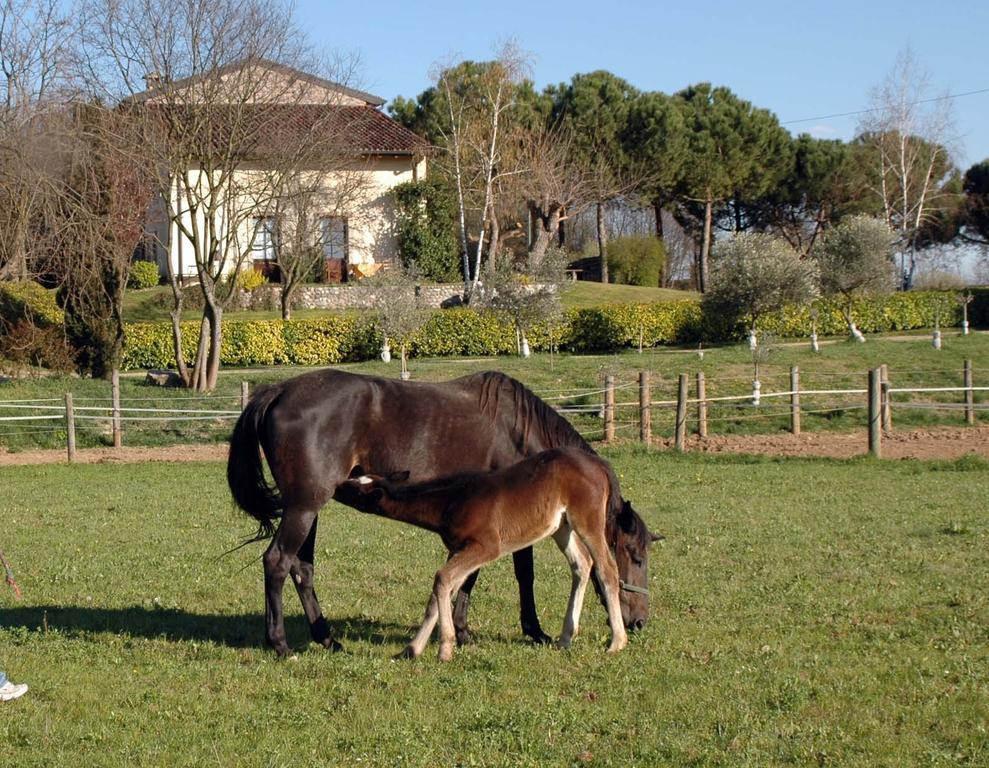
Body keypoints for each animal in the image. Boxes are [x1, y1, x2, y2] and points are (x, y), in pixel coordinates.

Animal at [332, 448, 624, 664]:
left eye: (355, 490)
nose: (335, 485)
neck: (450, 500)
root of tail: (600, 464)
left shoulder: (486, 546)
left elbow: (441, 578)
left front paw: (445, 649)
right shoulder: (458, 548)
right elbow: (440, 591)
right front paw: (410, 649)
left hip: (587, 520)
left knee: (607, 568)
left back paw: (617, 642)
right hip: (561, 526)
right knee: (582, 564)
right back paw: (565, 638)